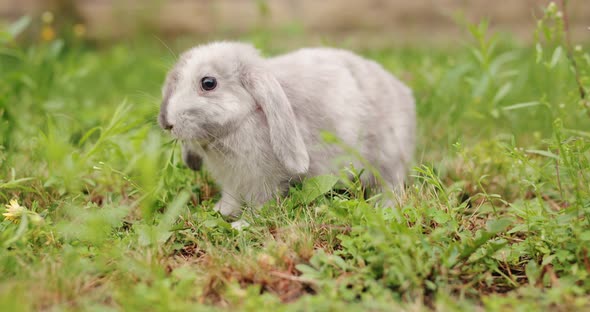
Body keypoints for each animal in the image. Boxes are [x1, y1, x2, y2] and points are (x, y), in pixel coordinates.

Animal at [158, 41, 416, 219]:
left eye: (208, 83)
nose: (166, 123)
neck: (244, 121)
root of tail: (402, 92)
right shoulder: (232, 182)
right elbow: (231, 198)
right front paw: (221, 211)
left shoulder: (265, 182)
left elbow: (261, 205)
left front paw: (242, 223)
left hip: (388, 157)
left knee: (391, 184)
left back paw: (385, 207)